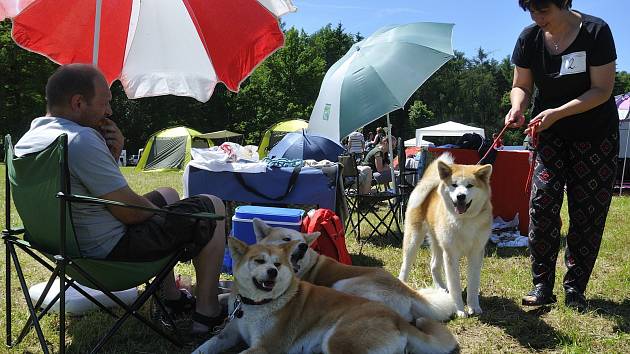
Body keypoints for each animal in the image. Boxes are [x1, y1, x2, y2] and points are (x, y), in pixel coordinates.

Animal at [195, 238, 462, 354]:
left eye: (278, 264)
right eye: (259, 261)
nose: (272, 272)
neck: (255, 306)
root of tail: (395, 319)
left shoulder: (267, 346)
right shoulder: (229, 333)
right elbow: (205, 346)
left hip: (339, 337)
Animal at [400, 153, 494, 318]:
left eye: (470, 186)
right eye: (454, 185)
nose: (461, 196)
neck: (464, 221)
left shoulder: (476, 253)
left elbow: (473, 284)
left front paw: (474, 307)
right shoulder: (451, 254)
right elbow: (455, 285)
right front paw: (459, 309)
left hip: (438, 243)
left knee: (433, 265)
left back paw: (441, 289)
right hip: (413, 239)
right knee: (405, 266)